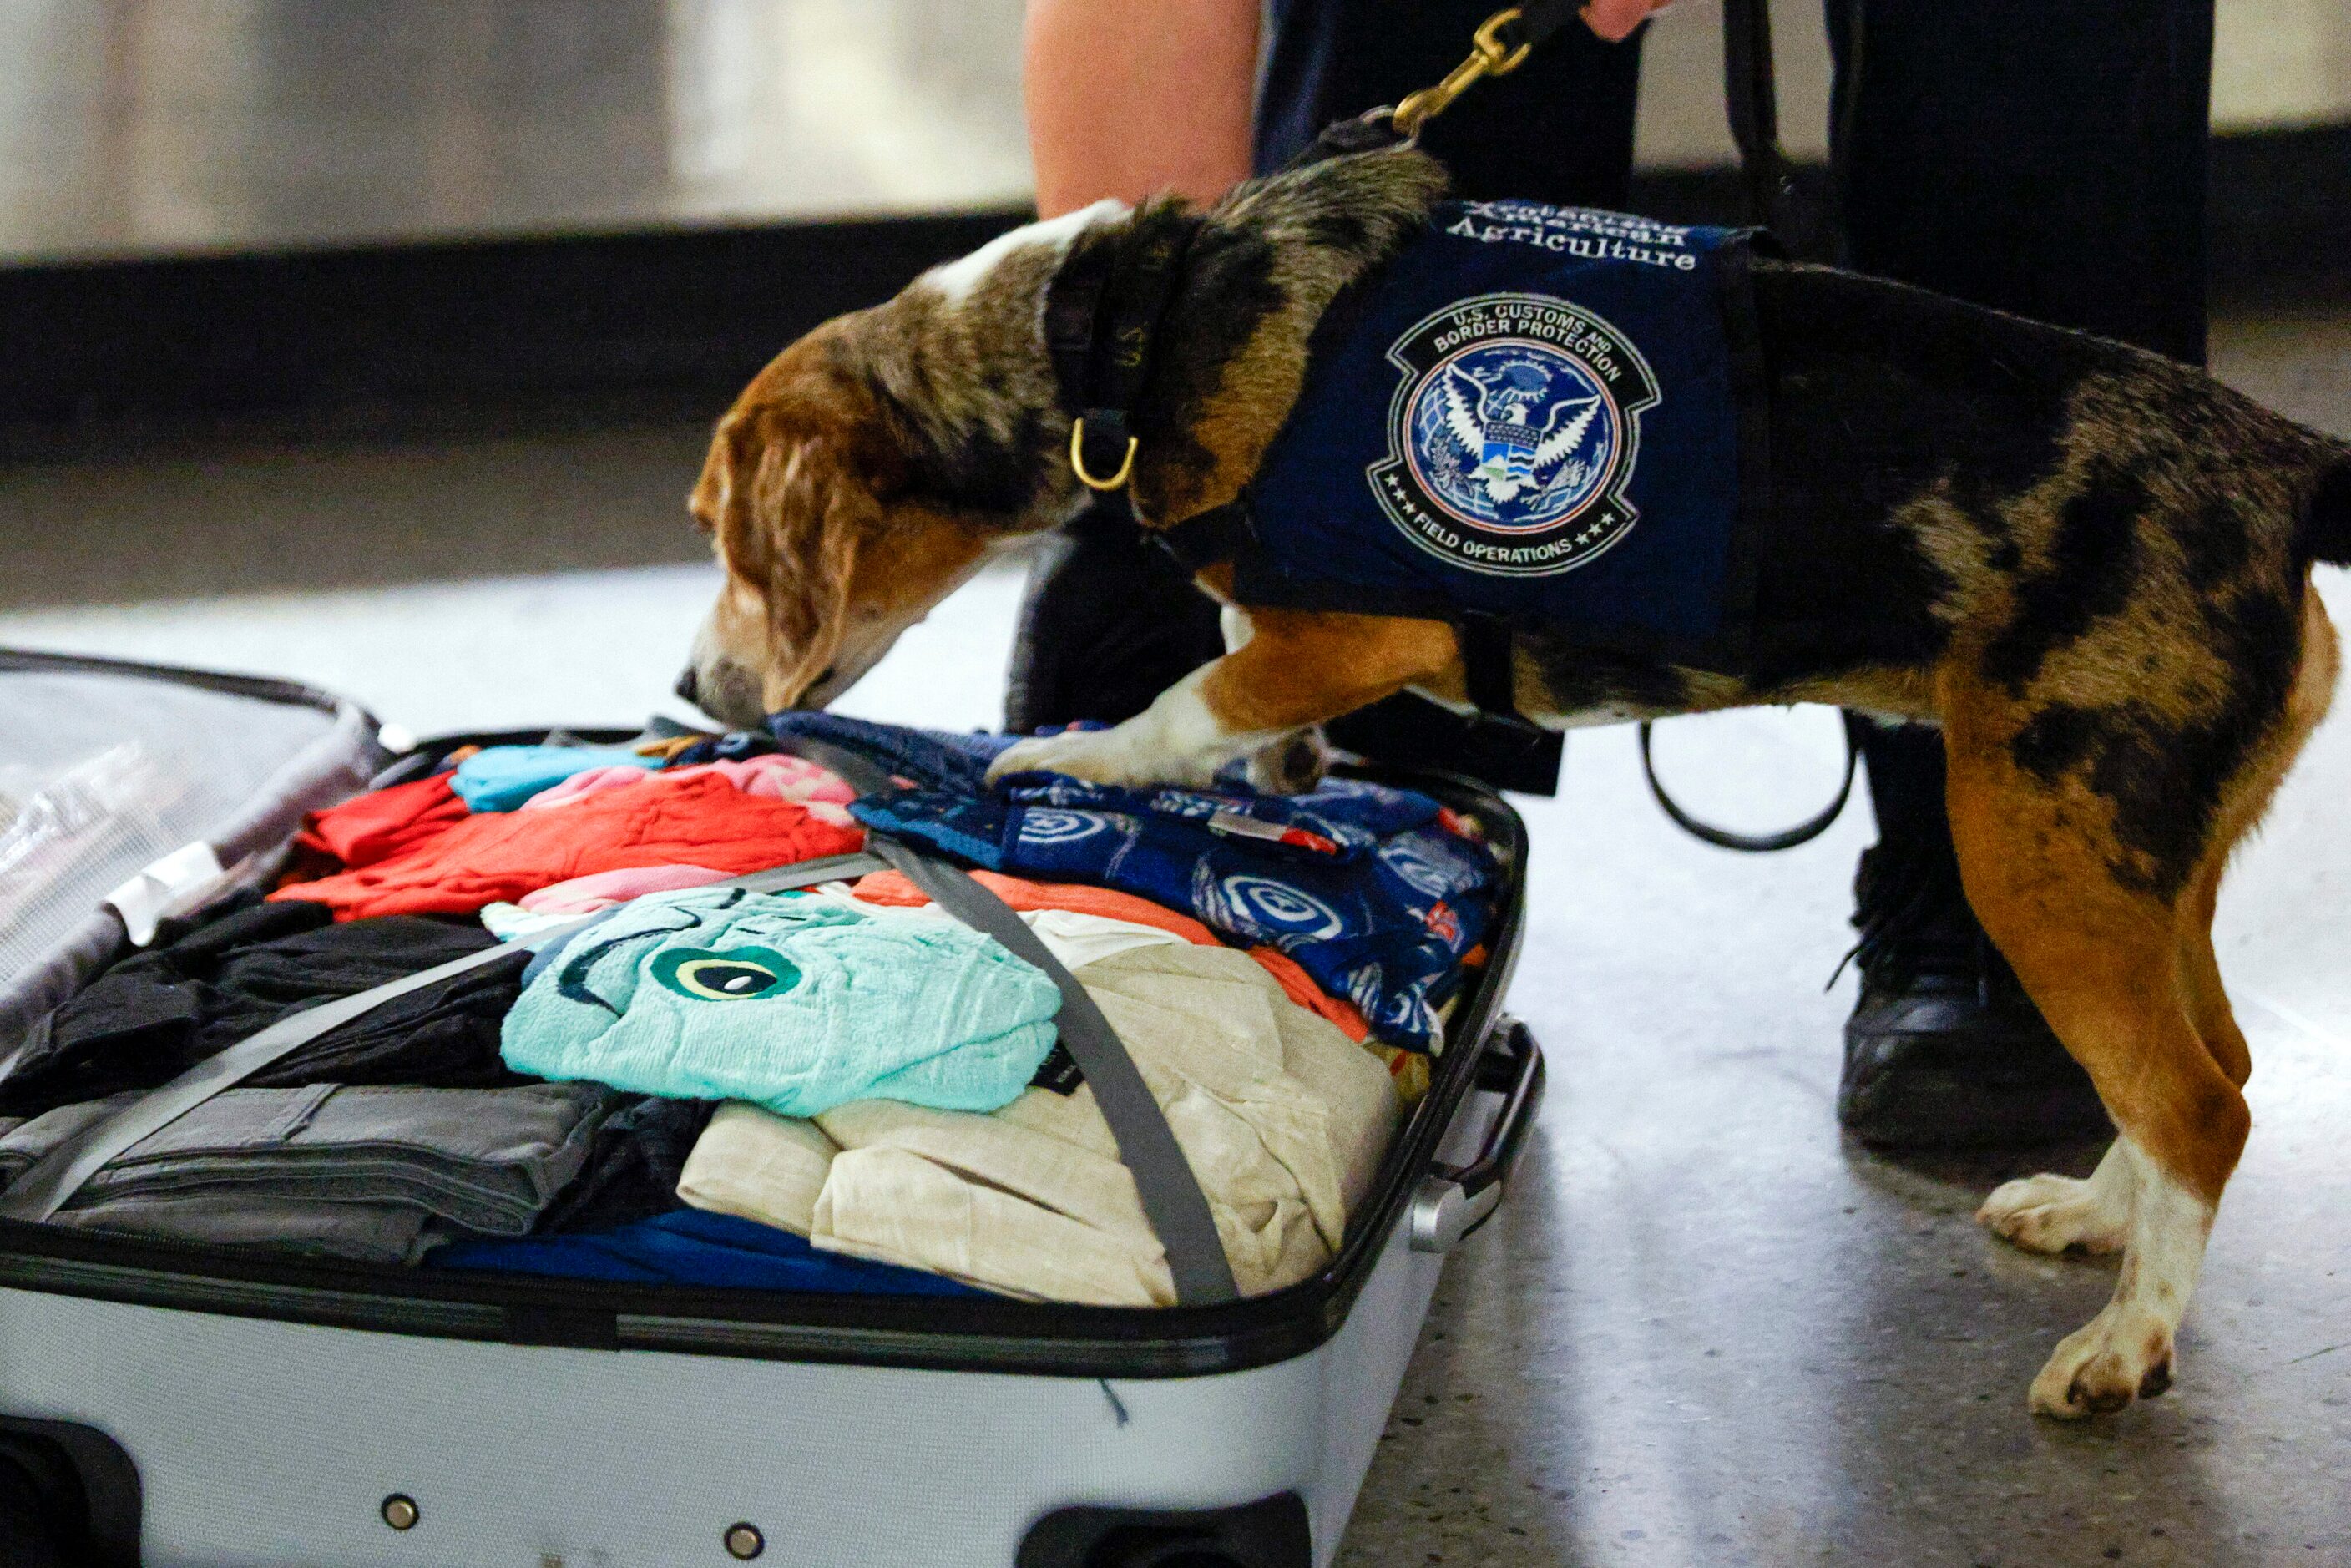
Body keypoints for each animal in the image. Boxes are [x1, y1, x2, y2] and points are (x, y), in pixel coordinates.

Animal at [681, 146, 2351, 1419]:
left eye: (731, 538)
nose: (696, 695)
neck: (1136, 332)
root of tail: (2280, 468)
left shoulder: (1358, 628)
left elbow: (1175, 706)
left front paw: (1073, 758)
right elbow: (1234, 680)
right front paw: (1281, 774)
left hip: (2037, 848)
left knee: (2202, 1103)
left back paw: (2125, 1346)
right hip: (2129, 860)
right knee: (2208, 1071)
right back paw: (2096, 1214)